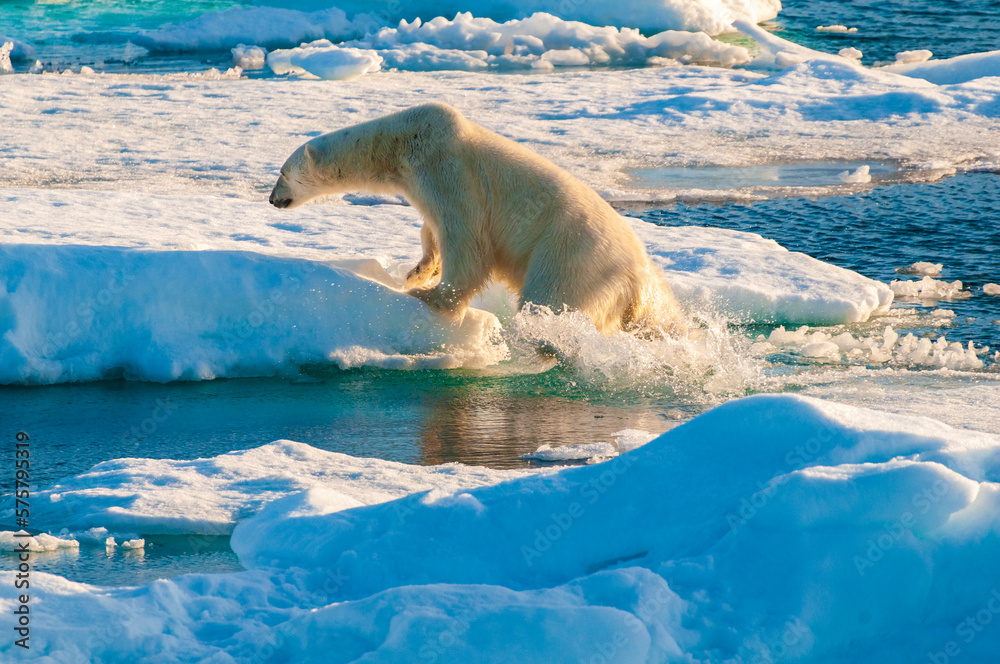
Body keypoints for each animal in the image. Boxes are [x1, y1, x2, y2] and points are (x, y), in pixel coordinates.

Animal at [269, 102, 684, 336]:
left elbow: (467, 240)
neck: (404, 143)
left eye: (282, 173)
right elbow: (432, 228)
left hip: (572, 256)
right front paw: (417, 272)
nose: (272, 200)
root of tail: (641, 274)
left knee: (549, 299)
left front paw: (431, 297)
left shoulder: (448, 168)